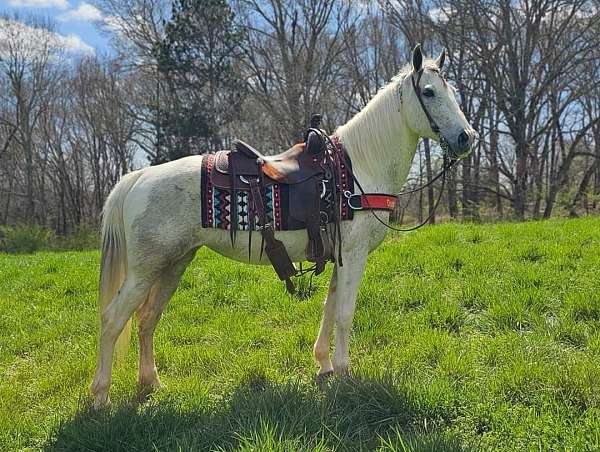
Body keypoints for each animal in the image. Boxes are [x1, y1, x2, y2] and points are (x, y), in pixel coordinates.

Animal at [90, 45, 474, 406]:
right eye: (428, 92)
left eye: (450, 90)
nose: (466, 138)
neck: (358, 169)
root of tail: (139, 178)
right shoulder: (354, 254)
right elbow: (345, 313)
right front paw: (345, 373)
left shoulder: (339, 256)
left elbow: (329, 307)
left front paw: (324, 365)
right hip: (145, 271)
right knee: (112, 320)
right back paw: (101, 396)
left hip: (174, 264)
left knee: (147, 319)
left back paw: (151, 383)